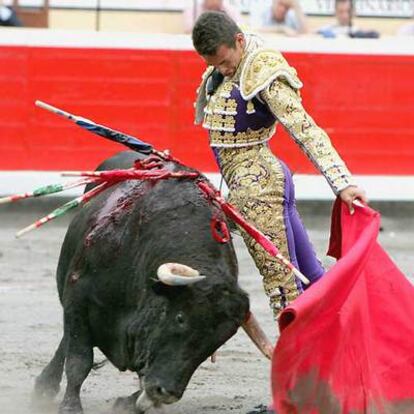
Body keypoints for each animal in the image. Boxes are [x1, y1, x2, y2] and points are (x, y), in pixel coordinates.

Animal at [32, 152, 262, 414]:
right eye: (180, 318)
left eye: (220, 340)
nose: (167, 393)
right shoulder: (78, 295)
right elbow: (79, 359)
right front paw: (70, 407)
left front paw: (129, 403)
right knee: (68, 342)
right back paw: (44, 386)